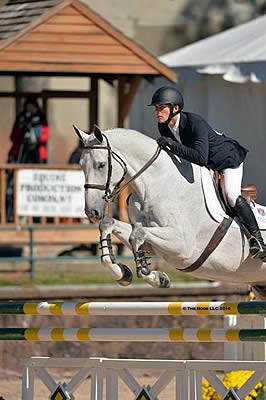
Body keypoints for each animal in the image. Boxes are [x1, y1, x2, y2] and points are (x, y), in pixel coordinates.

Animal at [74, 126, 266, 296]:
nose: (92, 212)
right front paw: (122, 272)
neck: (155, 186)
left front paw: (155, 277)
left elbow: (137, 234)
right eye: (81, 165)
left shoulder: (182, 246)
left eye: (101, 165)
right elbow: (111, 225)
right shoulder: (154, 245)